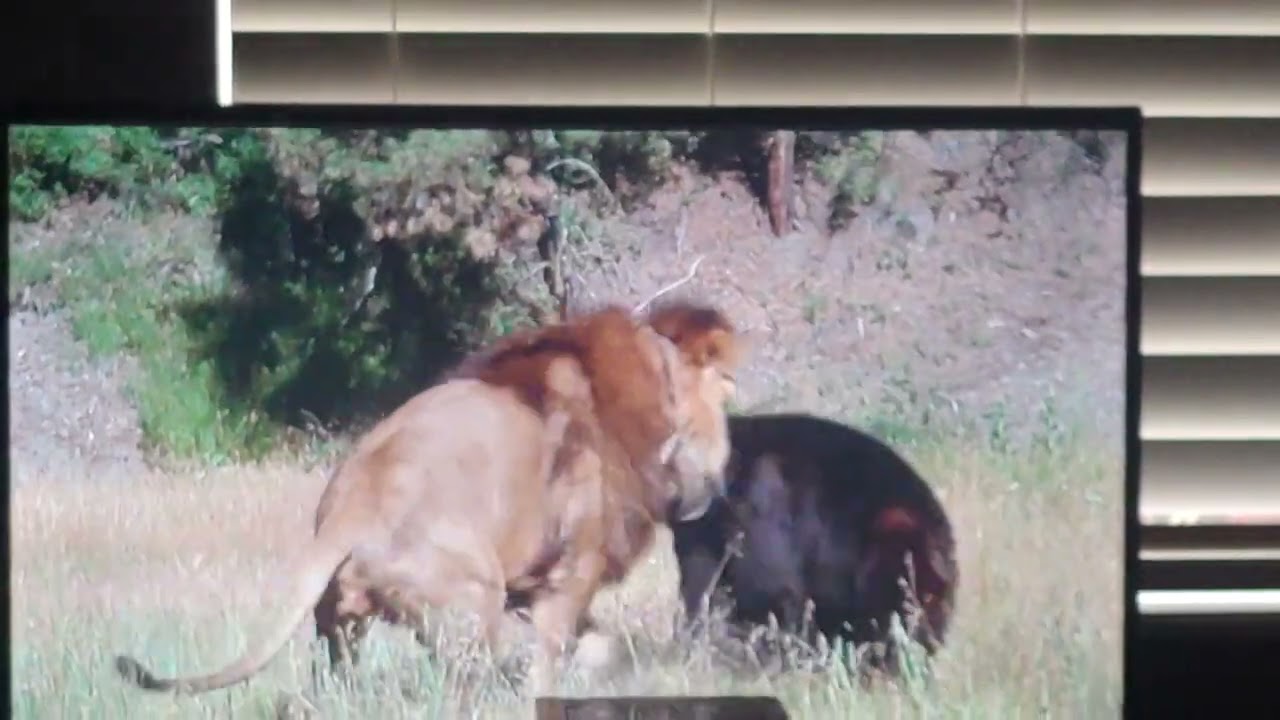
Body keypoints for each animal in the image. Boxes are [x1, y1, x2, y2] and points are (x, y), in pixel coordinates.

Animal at [112, 301, 743, 696]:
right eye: (723, 401)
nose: (718, 485)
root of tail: (353, 502)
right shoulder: (569, 575)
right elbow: (548, 665)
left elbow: (601, 648)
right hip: (472, 603)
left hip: (340, 626)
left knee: (335, 686)